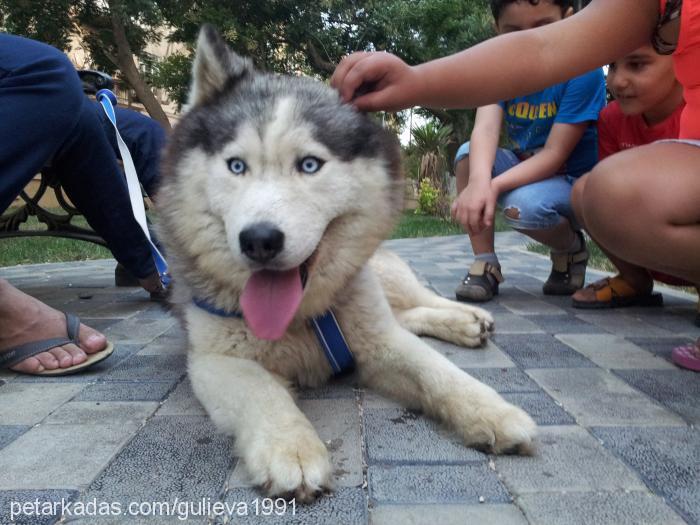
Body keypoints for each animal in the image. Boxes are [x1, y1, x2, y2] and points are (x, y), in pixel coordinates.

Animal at [161, 26, 536, 502]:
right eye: (236, 166)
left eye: (309, 165)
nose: (259, 241)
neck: (302, 316)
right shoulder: (213, 361)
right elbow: (262, 391)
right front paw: (291, 448)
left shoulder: (380, 342)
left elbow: (437, 370)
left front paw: (492, 409)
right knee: (406, 314)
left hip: (381, 278)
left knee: (416, 299)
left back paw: (467, 317)